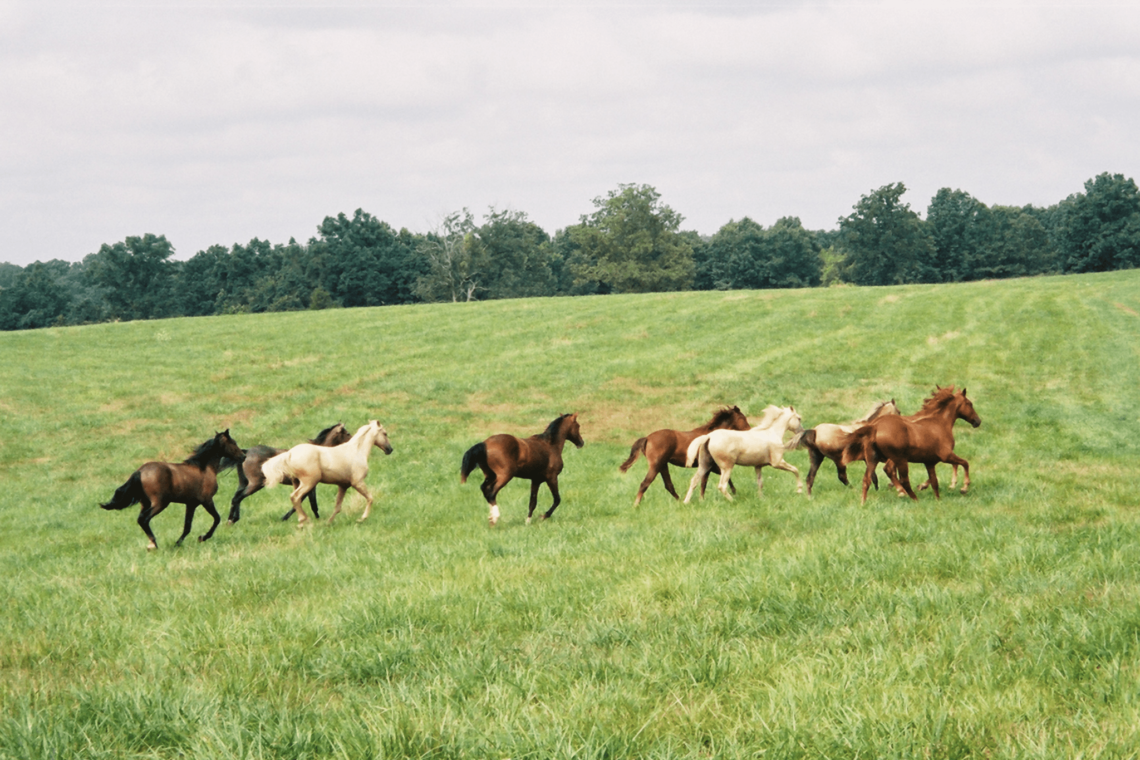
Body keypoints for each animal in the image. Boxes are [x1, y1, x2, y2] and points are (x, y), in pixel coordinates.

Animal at [99, 430, 245, 550]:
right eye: (233, 442)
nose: (243, 456)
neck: (205, 468)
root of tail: (140, 471)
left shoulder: (191, 504)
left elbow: (187, 526)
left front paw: (177, 544)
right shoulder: (207, 501)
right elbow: (217, 518)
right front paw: (202, 538)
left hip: (145, 503)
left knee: (142, 520)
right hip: (160, 503)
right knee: (143, 519)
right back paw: (153, 545)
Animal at [261, 420, 393, 524]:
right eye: (385, 433)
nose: (390, 449)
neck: (356, 451)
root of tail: (289, 454)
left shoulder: (343, 485)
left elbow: (338, 507)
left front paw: (328, 523)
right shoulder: (358, 482)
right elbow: (370, 498)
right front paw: (362, 518)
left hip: (297, 482)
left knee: (296, 500)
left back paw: (302, 521)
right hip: (309, 482)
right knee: (295, 497)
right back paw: (304, 520)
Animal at [619, 406, 751, 506]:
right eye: (743, 418)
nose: (750, 429)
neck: (710, 435)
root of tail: (647, 438)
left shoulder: (708, 466)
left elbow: (705, 482)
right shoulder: (710, 465)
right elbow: (711, 481)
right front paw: (733, 493)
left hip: (663, 465)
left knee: (668, 485)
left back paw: (680, 501)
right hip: (656, 466)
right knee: (645, 484)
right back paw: (636, 505)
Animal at [840, 386, 980, 505]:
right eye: (970, 404)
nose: (978, 421)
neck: (940, 423)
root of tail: (875, 426)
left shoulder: (930, 461)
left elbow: (935, 481)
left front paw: (938, 498)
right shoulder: (946, 455)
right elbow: (965, 463)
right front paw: (963, 487)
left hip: (873, 459)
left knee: (867, 480)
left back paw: (863, 503)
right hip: (900, 459)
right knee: (902, 478)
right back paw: (913, 498)